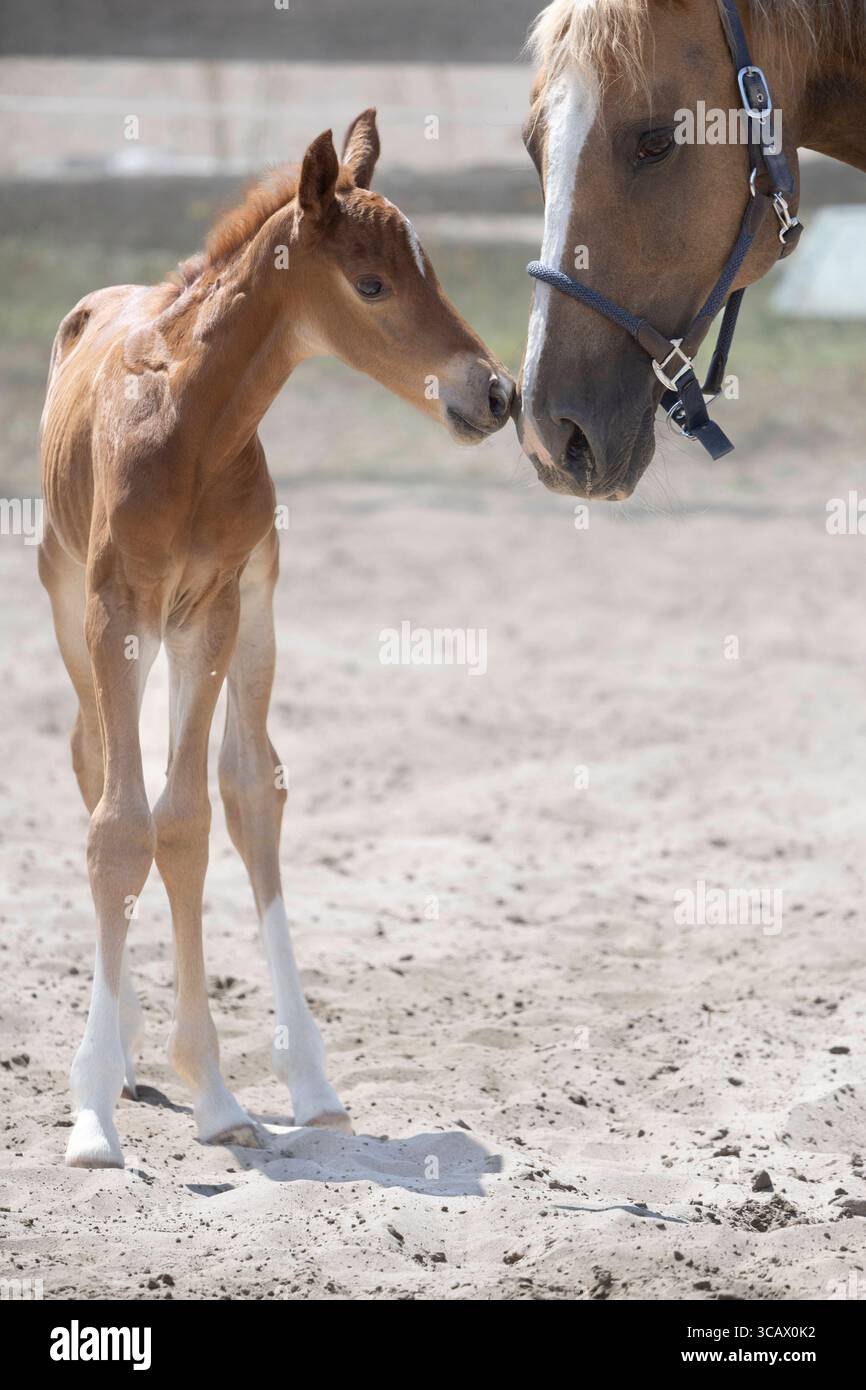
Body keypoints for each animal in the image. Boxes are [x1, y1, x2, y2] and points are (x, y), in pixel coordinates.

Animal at [39, 108, 515, 1169]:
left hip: (252, 616)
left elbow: (184, 821)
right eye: (372, 283)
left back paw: (309, 1081)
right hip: (73, 611)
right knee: (93, 764)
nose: (497, 393)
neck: (189, 426)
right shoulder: (112, 611)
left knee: (252, 790)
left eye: (430, 268)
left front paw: (218, 1098)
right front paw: (93, 1115)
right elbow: (118, 827)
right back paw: (123, 1048)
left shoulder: (213, 609)